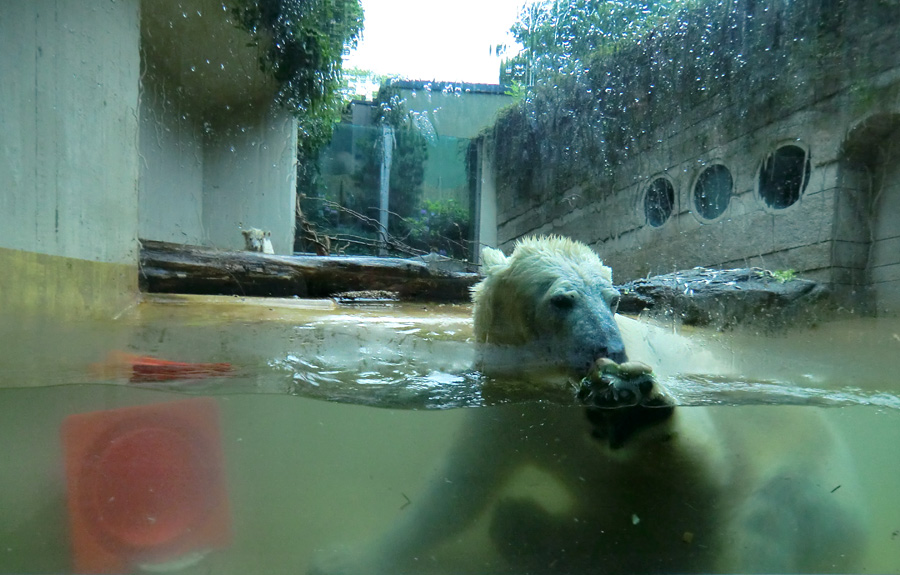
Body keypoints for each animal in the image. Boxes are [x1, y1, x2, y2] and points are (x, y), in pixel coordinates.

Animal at [312, 237, 864, 575]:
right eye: (563, 299)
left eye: (614, 298)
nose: (612, 351)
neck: (548, 386)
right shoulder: (504, 409)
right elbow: (455, 494)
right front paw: (347, 559)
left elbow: (705, 469)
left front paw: (631, 406)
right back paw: (531, 527)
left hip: (811, 479)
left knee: (766, 523)